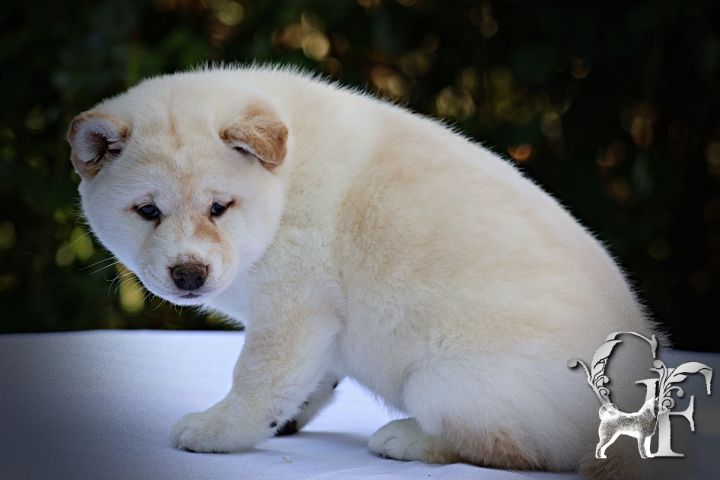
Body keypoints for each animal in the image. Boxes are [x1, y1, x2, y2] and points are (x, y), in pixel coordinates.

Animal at [67, 66, 657, 478]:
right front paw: (289, 419)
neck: (284, 189)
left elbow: (257, 380)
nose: (189, 274)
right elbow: (309, 378)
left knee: (510, 451)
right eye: (148, 211)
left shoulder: (292, 308)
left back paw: (404, 439)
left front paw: (216, 431)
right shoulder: (319, 328)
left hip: (441, 382)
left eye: (219, 207)